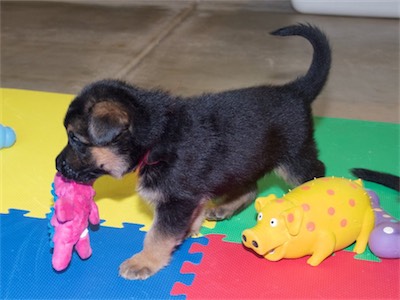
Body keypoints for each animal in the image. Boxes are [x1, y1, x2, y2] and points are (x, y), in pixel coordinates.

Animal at [56, 22, 332, 278]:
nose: (57, 165)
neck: (158, 136)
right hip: (238, 164)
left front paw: (144, 262)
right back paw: (224, 207)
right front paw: (187, 231)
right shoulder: (192, 194)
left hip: (294, 159)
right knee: (251, 187)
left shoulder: (176, 200)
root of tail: (295, 91)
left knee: (316, 173)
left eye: (75, 138)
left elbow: (157, 234)